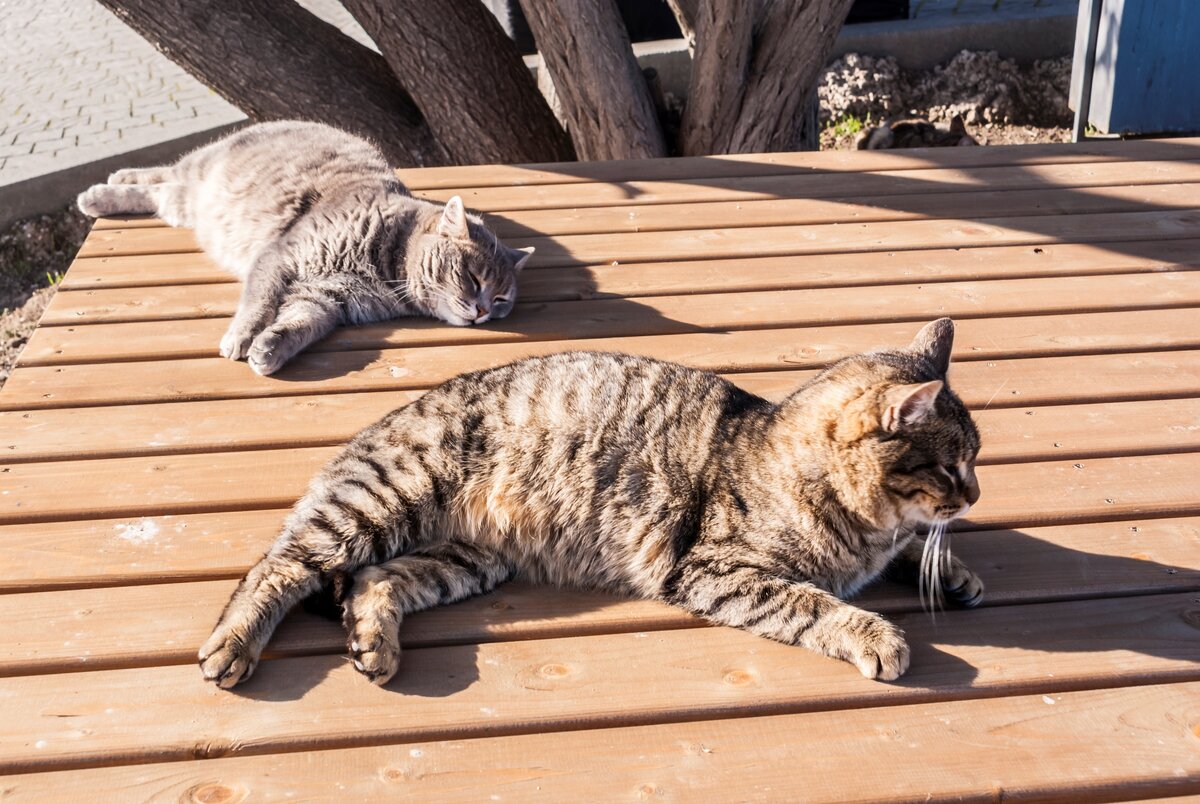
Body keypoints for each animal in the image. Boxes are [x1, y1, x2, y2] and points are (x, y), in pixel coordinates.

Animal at [79, 120, 535, 379]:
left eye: (501, 300)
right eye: (473, 278)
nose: (482, 311)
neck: (385, 266)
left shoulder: (327, 297)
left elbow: (300, 324)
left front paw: (271, 348)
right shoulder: (280, 257)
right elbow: (259, 303)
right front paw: (243, 336)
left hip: (186, 203)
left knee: (161, 189)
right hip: (200, 172)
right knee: (162, 174)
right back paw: (101, 192)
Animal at [199, 319, 984, 691]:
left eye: (974, 459)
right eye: (953, 465)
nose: (977, 492)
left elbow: (909, 550)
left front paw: (952, 572)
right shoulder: (716, 570)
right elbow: (814, 604)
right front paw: (876, 633)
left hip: (466, 558)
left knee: (373, 579)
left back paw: (373, 643)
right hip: (383, 499)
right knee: (278, 565)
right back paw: (233, 645)